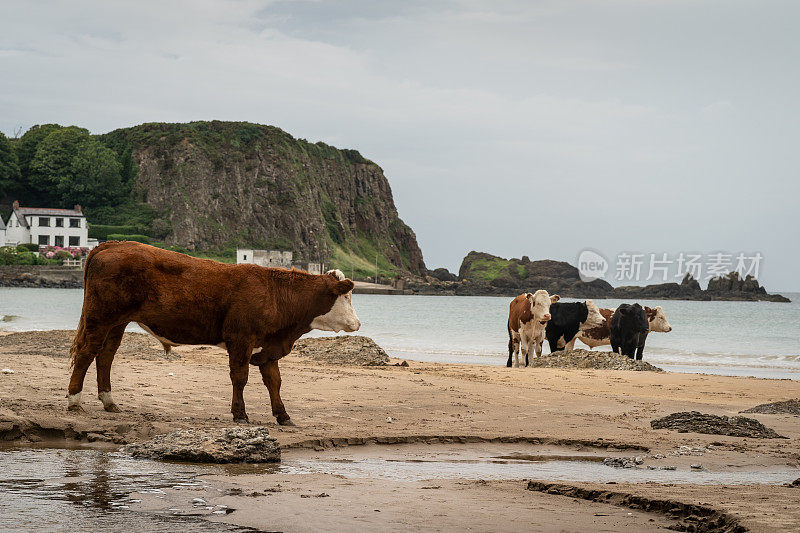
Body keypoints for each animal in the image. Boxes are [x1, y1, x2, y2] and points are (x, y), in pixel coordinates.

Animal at [67, 241, 360, 424]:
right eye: (346, 296)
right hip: (100, 317)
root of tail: (113, 244)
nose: (357, 323)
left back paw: (109, 402)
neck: (275, 295)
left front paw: (283, 416)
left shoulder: (269, 345)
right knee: (86, 354)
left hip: (117, 322)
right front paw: (240, 414)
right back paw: (74, 401)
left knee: (105, 356)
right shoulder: (241, 339)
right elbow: (240, 378)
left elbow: (274, 381)